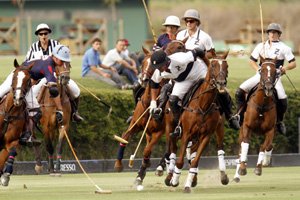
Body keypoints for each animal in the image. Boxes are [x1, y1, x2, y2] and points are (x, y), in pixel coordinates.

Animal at [113, 40, 186, 188]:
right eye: (142, 63)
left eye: (153, 65)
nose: (144, 79)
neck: (148, 104)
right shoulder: (136, 125)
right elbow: (124, 137)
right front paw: (118, 164)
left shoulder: (159, 131)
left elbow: (147, 150)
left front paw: (144, 169)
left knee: (169, 148)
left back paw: (160, 167)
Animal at [165, 50, 231, 193]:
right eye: (213, 66)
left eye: (226, 66)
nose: (221, 83)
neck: (203, 105)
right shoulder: (186, 134)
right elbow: (180, 161)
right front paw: (175, 180)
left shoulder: (205, 135)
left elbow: (195, 161)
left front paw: (188, 184)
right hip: (170, 128)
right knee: (172, 149)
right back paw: (169, 177)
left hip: (218, 128)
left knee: (217, 148)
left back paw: (220, 176)